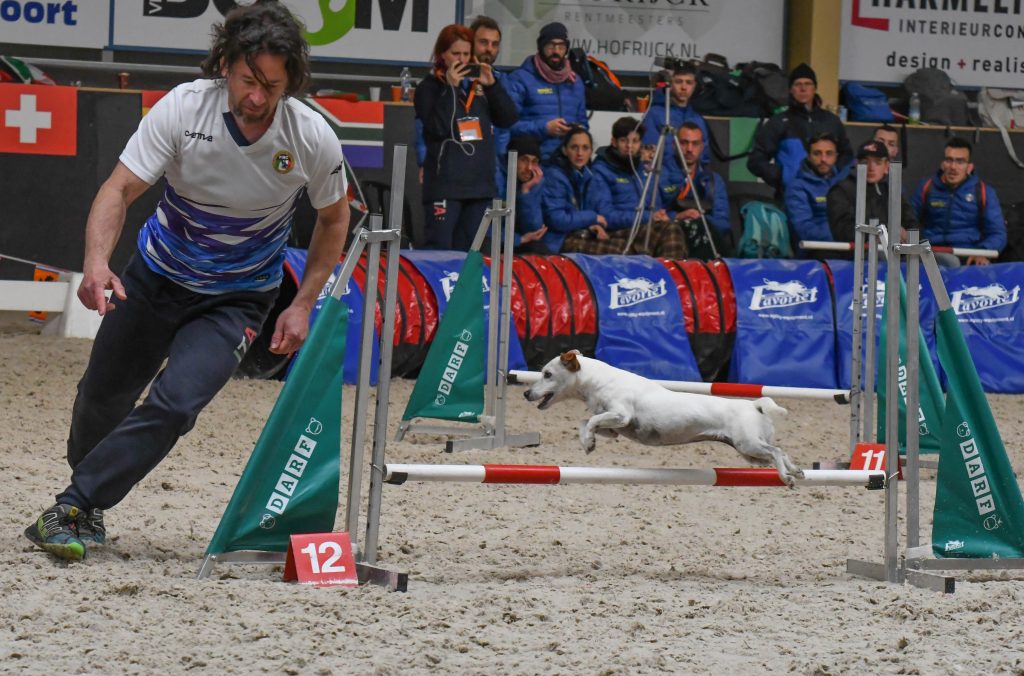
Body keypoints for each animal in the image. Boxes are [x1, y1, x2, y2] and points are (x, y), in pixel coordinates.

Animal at [524, 354, 802, 485]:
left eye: (547, 374)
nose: (526, 394)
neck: (598, 380)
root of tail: (755, 406)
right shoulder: (614, 427)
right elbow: (587, 422)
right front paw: (588, 442)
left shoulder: (621, 416)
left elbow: (591, 420)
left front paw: (588, 442)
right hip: (750, 453)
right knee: (781, 453)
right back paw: (797, 471)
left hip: (748, 445)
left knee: (777, 452)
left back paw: (786, 477)